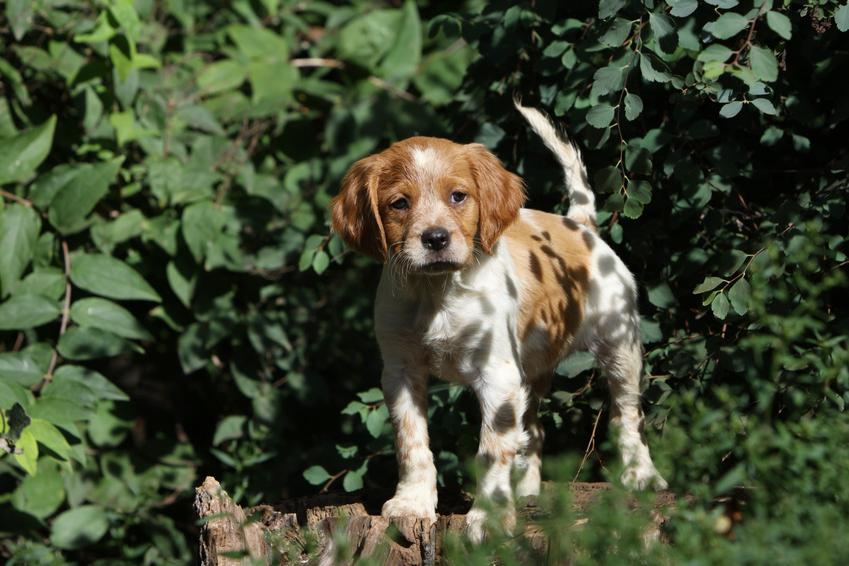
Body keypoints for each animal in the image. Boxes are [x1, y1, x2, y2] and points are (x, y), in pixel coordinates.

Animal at [328, 102, 664, 540]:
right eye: (399, 203)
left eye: (458, 196)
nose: (435, 238)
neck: (438, 294)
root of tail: (579, 225)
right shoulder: (401, 371)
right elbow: (411, 442)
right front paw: (412, 504)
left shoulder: (497, 374)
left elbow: (490, 448)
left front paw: (488, 516)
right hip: (534, 367)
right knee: (534, 430)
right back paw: (527, 492)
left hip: (619, 341)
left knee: (627, 414)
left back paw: (641, 474)